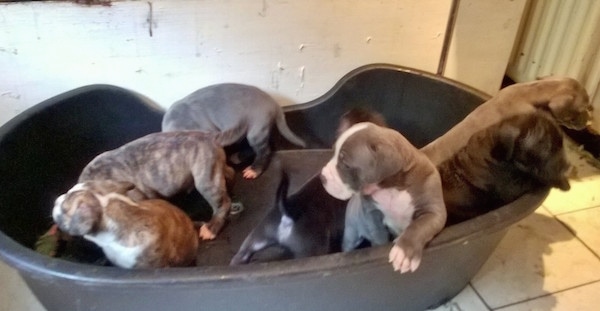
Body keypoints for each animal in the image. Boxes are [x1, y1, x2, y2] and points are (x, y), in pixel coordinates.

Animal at [79, 130, 237, 240]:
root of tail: (209, 136)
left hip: (205, 179)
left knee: (223, 203)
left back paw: (211, 228)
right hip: (214, 169)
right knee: (229, 173)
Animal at [324, 123, 446, 274]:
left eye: (346, 164)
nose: (322, 177)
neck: (392, 186)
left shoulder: (434, 211)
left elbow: (419, 226)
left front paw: (404, 252)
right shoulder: (371, 214)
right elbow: (379, 235)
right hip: (351, 232)